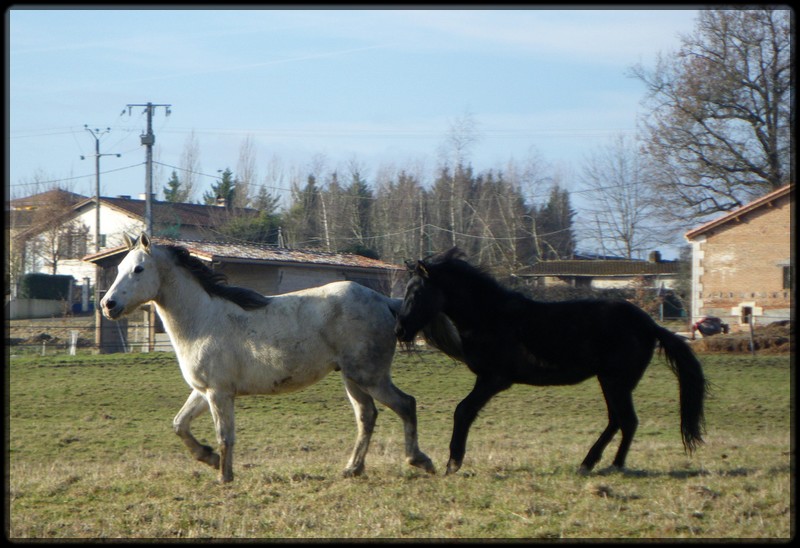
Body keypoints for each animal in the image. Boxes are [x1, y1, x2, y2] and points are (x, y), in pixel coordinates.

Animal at [104, 233, 438, 482]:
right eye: (119, 268)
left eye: (138, 269)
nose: (108, 305)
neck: (203, 320)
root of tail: (384, 301)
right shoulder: (203, 391)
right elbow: (180, 425)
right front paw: (208, 458)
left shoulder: (219, 393)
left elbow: (225, 435)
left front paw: (224, 476)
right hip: (352, 378)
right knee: (367, 416)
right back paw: (352, 469)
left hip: (370, 376)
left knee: (405, 404)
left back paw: (419, 461)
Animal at [394, 249, 708, 476]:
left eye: (417, 293)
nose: (400, 331)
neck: (491, 317)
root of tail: (651, 325)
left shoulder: (493, 379)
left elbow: (463, 411)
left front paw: (453, 463)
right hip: (611, 381)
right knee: (619, 420)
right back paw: (592, 464)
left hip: (616, 381)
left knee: (626, 420)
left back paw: (608, 465)